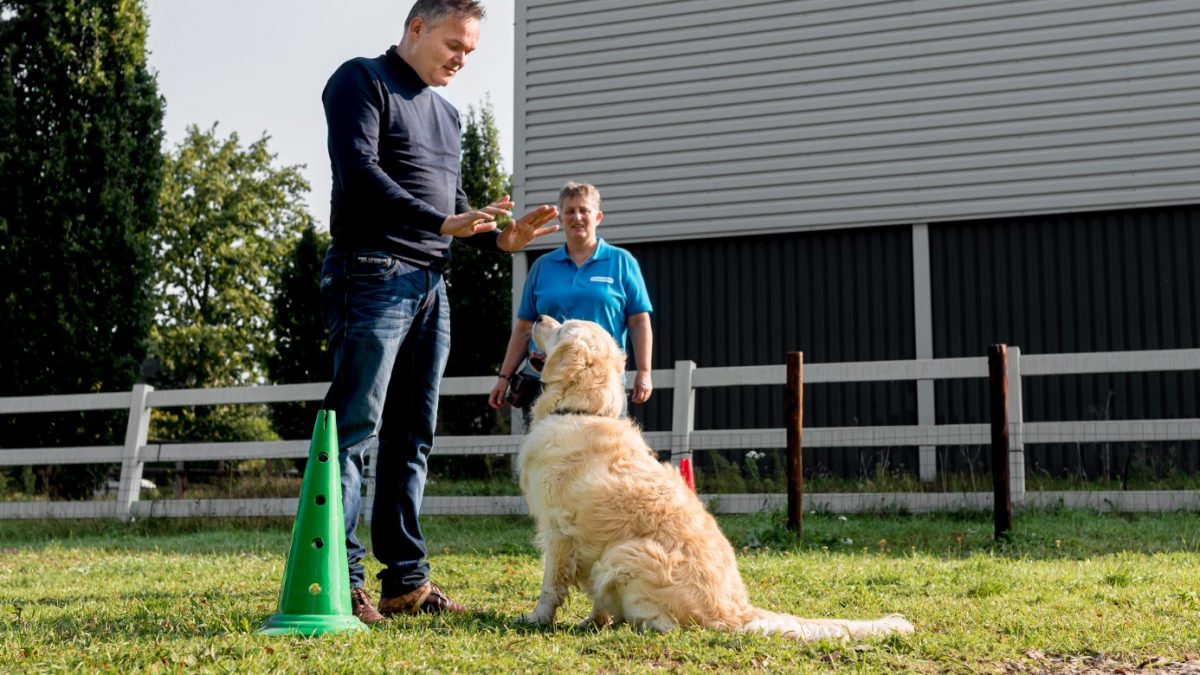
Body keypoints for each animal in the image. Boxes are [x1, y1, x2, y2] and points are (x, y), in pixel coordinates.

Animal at [511, 317, 912, 638]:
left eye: (561, 327)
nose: (538, 316)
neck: (580, 410)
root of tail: (735, 611)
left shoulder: (559, 531)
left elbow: (551, 586)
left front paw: (536, 619)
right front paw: (590, 621)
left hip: (623, 554)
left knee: (671, 625)